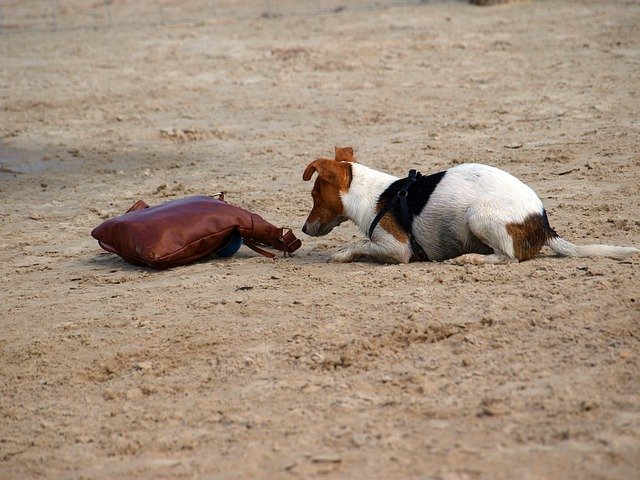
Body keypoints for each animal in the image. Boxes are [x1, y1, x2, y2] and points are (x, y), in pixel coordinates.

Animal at [302, 147, 640, 266]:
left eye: (315, 196)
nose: (303, 229)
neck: (375, 194)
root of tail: (543, 224)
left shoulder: (397, 249)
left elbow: (360, 244)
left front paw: (341, 253)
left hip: (479, 216)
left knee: (508, 257)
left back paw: (470, 259)